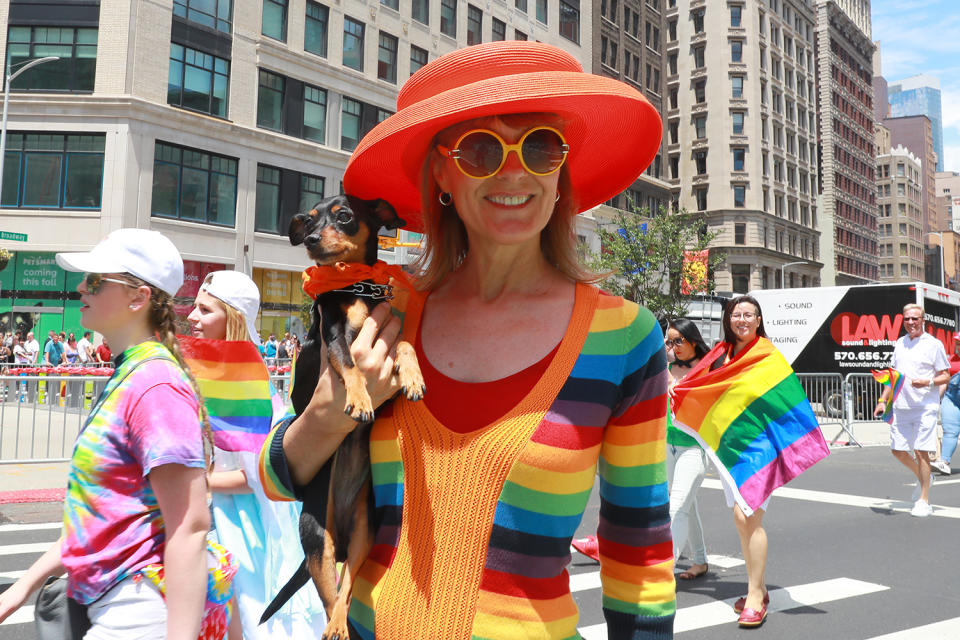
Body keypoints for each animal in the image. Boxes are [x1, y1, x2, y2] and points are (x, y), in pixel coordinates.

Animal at [262, 195, 428, 640]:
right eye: (308, 221)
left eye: (344, 215)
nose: (312, 240)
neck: (356, 287)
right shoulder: (334, 337)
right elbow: (352, 365)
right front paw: (358, 398)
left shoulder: (389, 332)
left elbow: (405, 345)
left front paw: (414, 377)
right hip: (317, 537)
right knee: (329, 595)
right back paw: (335, 627)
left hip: (362, 535)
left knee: (346, 588)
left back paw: (341, 624)